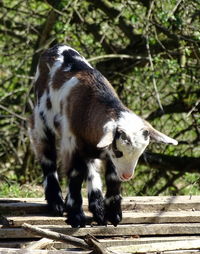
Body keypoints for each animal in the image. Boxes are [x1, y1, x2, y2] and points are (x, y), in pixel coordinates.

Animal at [28, 44, 177, 228]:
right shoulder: (73, 144)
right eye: (119, 151)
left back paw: (97, 207)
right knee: (47, 155)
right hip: (41, 120)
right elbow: (76, 175)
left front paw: (113, 214)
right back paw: (56, 203)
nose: (127, 175)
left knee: (91, 166)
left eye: (140, 153)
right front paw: (76, 216)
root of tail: (56, 47)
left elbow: (112, 178)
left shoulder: (104, 149)